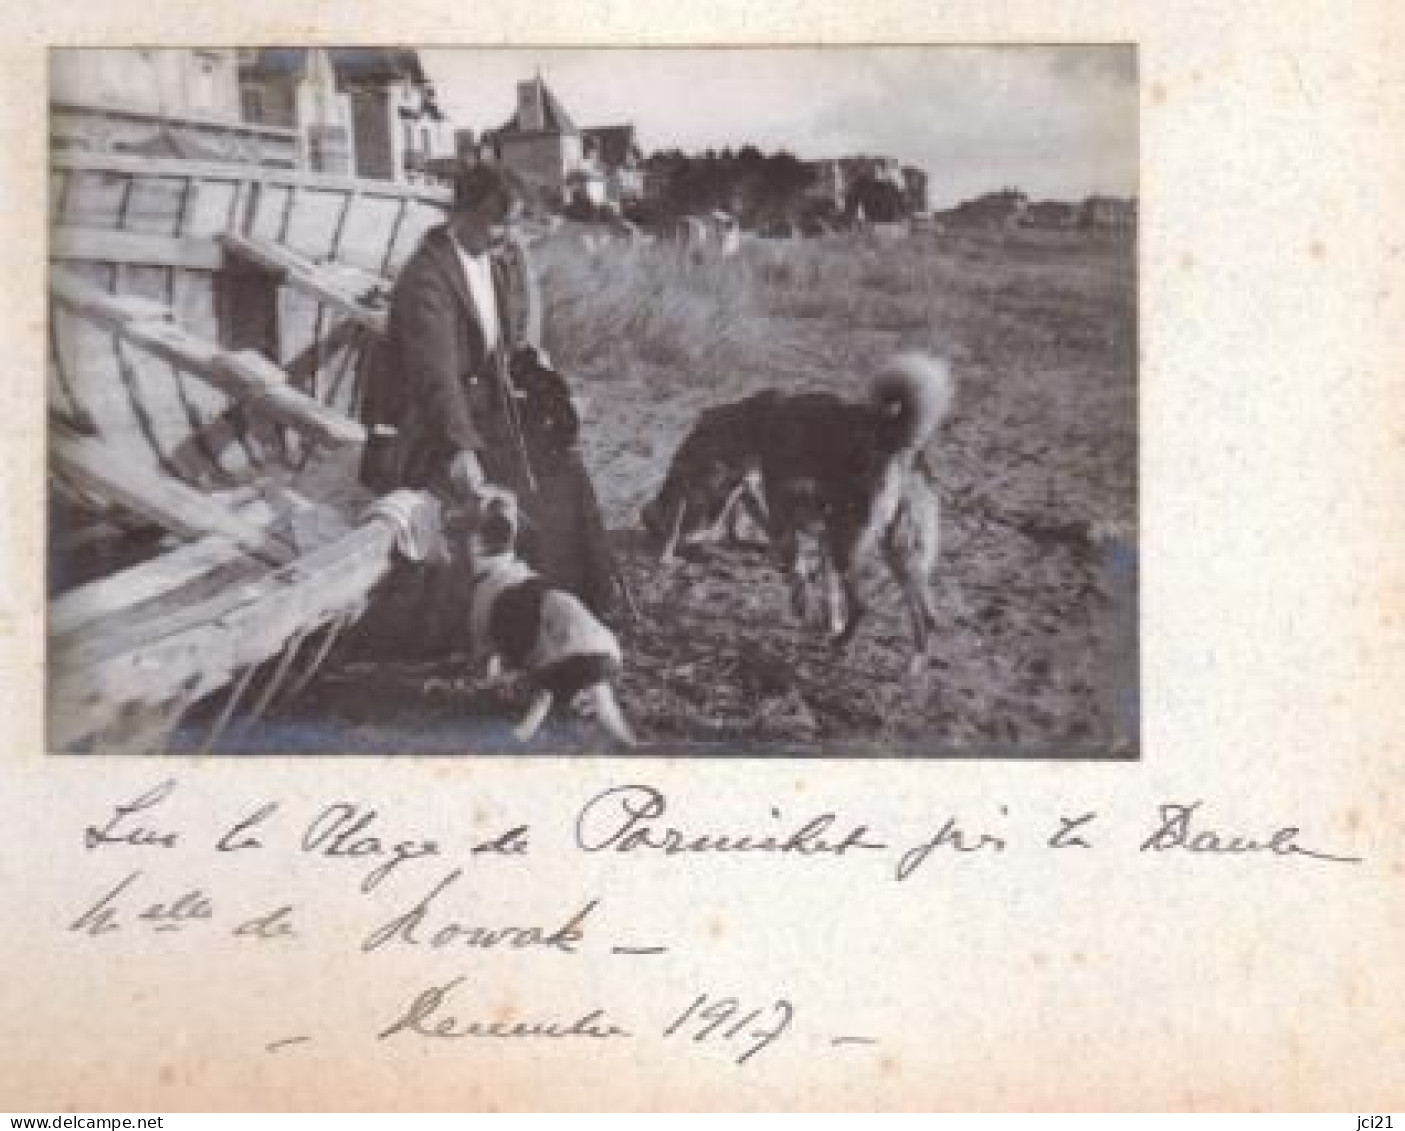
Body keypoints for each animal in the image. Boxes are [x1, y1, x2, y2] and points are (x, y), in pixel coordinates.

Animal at [466, 488, 637, 747]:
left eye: (495, 500)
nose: (481, 490)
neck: (497, 563)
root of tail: (604, 659)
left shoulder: (484, 636)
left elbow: (487, 665)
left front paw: (485, 684)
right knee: (582, 701)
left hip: (550, 672)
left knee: (546, 700)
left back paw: (520, 730)